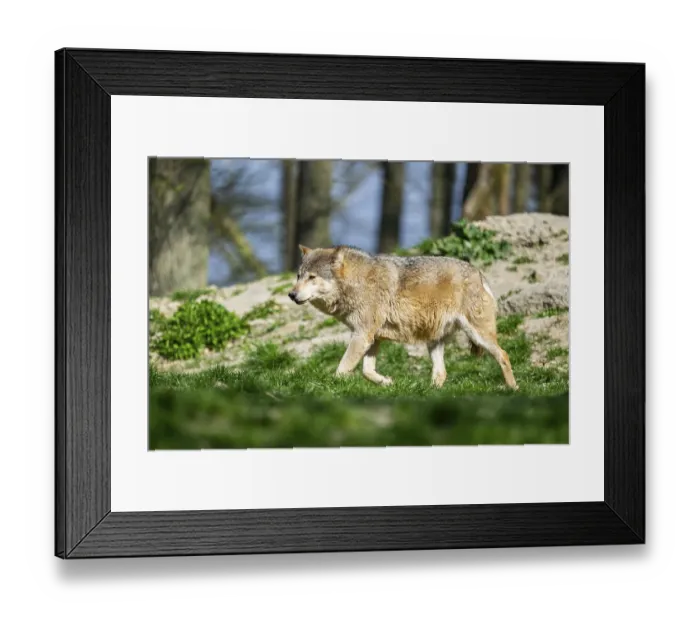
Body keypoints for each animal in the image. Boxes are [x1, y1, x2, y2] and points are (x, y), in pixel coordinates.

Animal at [288, 245, 518, 390]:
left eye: (312, 277)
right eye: (299, 276)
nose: (291, 294)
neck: (357, 283)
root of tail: (479, 273)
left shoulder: (362, 336)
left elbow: (342, 370)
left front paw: (330, 388)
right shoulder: (372, 338)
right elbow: (366, 371)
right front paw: (388, 383)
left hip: (478, 335)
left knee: (504, 355)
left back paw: (513, 389)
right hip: (434, 342)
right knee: (441, 373)